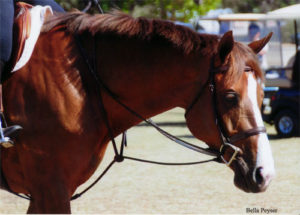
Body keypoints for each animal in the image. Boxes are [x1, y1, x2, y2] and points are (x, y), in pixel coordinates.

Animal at [1, 11, 276, 213]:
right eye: (230, 97)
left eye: (262, 96)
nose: (265, 174)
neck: (81, 82)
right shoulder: (51, 192)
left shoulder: (50, 194)